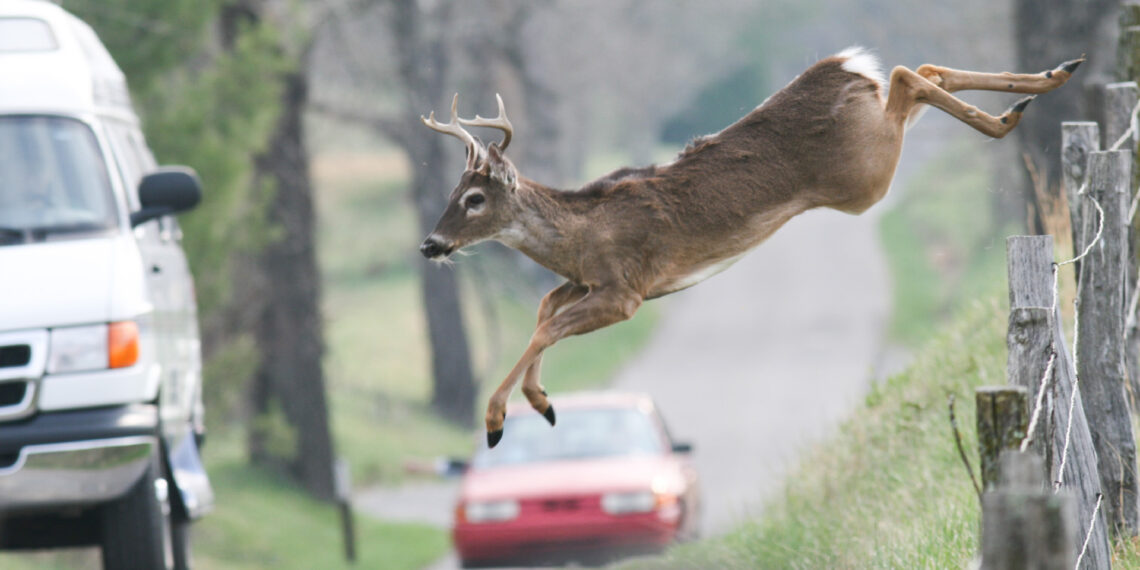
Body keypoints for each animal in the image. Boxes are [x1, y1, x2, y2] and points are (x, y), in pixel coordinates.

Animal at [418, 47, 1083, 448]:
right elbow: (543, 311)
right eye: (450, 191)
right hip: (873, 151)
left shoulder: (625, 291)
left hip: (866, 176)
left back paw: (1012, 113)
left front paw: (498, 420)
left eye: (473, 198)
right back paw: (1049, 80)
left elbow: (546, 326)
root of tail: (842, 67)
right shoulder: (587, 282)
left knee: (906, 75)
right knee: (922, 71)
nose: (431, 244)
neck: (579, 234)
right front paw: (542, 401)